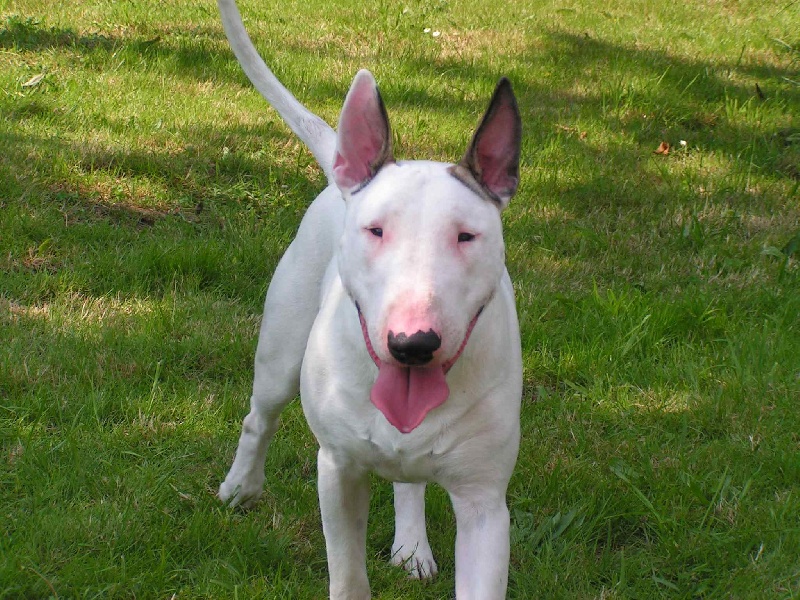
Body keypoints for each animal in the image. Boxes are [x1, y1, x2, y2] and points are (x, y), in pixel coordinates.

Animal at [216, 1, 523, 597]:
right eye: (376, 230)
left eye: (466, 236)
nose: (412, 343)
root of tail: (339, 178)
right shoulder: (337, 470)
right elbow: (347, 573)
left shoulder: (484, 504)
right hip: (280, 352)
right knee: (259, 416)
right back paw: (240, 486)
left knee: (410, 481)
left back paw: (411, 546)